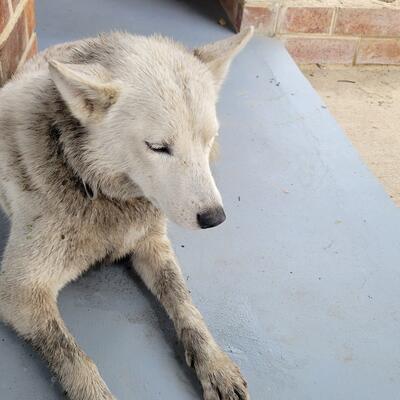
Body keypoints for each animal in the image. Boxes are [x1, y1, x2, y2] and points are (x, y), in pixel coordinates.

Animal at [0, 27, 254, 400]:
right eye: (158, 147)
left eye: (208, 139)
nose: (214, 218)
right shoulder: (20, 290)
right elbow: (74, 357)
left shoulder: (153, 245)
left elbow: (186, 305)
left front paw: (215, 364)